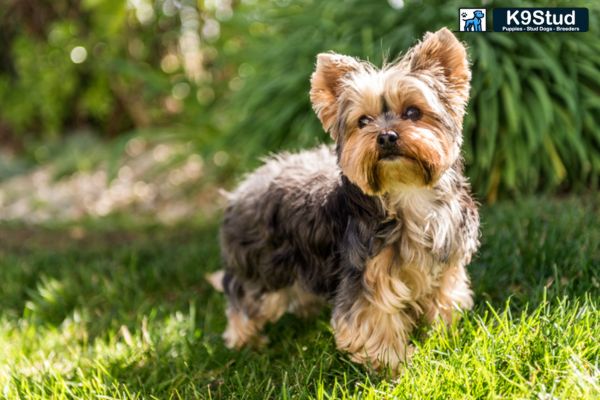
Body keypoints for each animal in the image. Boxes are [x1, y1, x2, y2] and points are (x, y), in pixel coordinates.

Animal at [209, 28, 480, 372]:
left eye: (412, 112)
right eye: (363, 121)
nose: (386, 136)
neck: (407, 192)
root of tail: (240, 189)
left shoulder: (445, 264)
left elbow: (444, 298)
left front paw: (442, 336)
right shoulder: (366, 274)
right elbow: (375, 320)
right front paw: (395, 365)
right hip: (262, 266)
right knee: (243, 297)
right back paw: (245, 342)